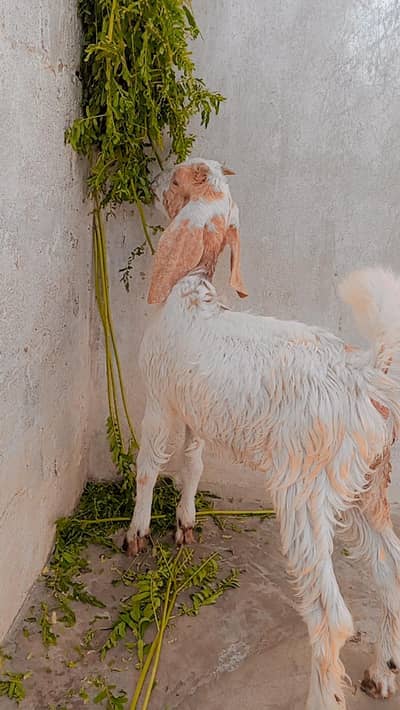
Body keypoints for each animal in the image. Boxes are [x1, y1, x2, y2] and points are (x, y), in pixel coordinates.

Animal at [124, 158, 400, 709]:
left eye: (181, 178)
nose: (157, 175)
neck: (191, 292)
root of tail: (366, 374)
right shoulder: (197, 413)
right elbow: (192, 465)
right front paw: (185, 523)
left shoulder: (161, 402)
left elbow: (149, 466)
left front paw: (137, 532)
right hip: (368, 489)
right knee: (391, 574)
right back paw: (382, 671)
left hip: (305, 493)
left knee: (331, 617)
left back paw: (324, 696)